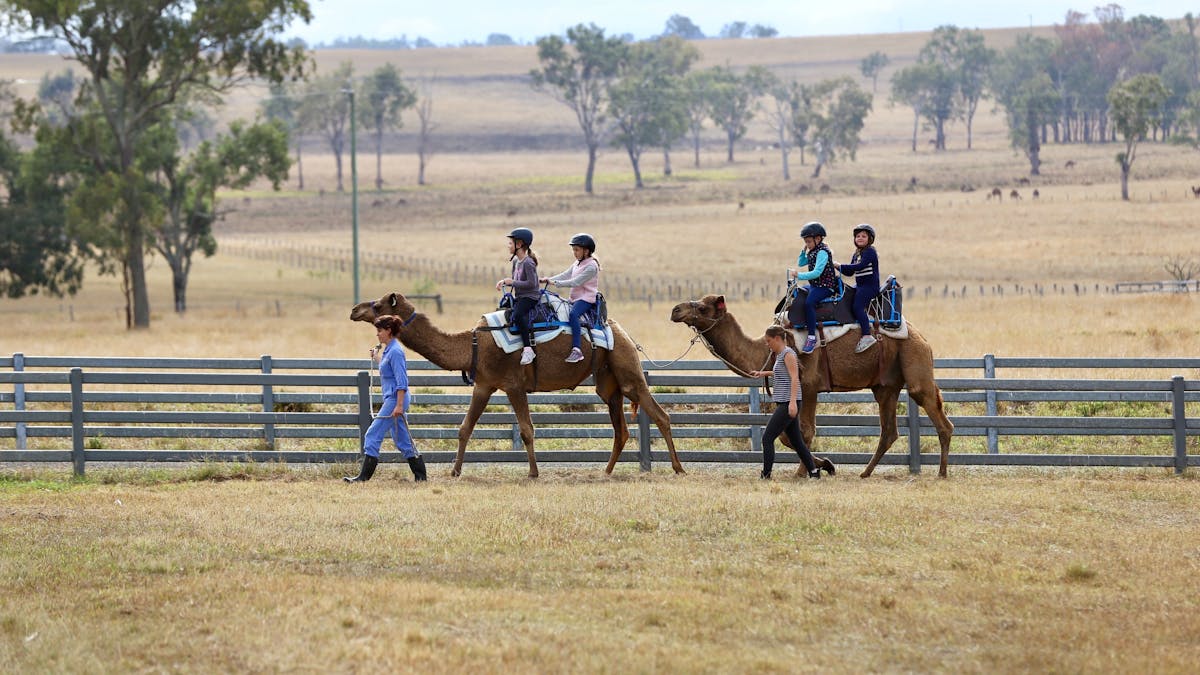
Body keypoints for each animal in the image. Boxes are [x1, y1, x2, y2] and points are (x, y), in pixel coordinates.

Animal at [351, 292, 684, 478]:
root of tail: (624, 332)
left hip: (627, 369)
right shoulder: (484, 384)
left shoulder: (513, 385)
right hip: (607, 381)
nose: (355, 310)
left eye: (377, 305)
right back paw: (606, 471)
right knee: (621, 429)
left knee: (660, 415)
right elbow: (464, 428)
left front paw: (534, 472)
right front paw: (455, 471)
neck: (472, 343)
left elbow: (526, 430)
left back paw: (678, 468)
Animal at [670, 294, 954, 478]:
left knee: (938, 417)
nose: (675, 310)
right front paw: (825, 464)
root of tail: (922, 338)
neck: (765, 350)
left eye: (703, 307)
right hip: (885, 385)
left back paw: (941, 472)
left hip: (913, 359)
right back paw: (865, 472)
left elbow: (803, 432)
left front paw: (808, 470)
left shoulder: (808, 386)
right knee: (889, 430)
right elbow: (788, 435)